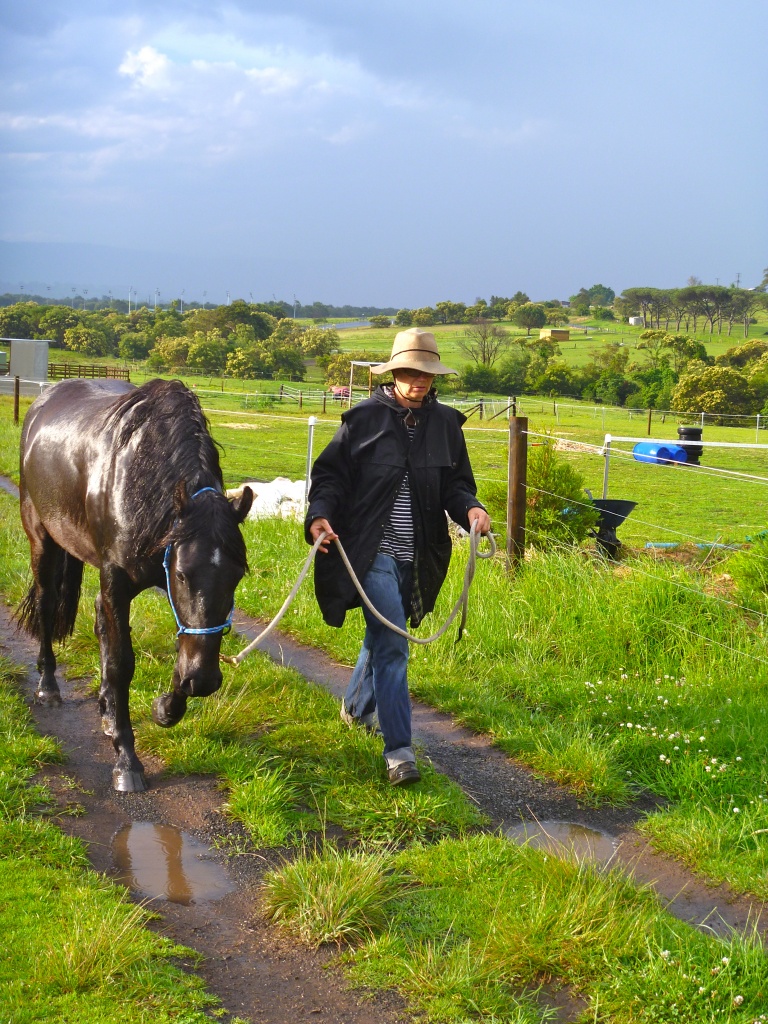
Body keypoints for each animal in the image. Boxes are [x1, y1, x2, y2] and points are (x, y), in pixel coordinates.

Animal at [17, 376, 252, 790]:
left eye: (236, 576)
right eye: (182, 574)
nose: (205, 681)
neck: (141, 477)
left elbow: (180, 649)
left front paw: (164, 708)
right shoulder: (117, 579)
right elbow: (121, 663)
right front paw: (126, 758)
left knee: (99, 620)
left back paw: (106, 708)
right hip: (42, 539)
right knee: (46, 605)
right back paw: (48, 686)